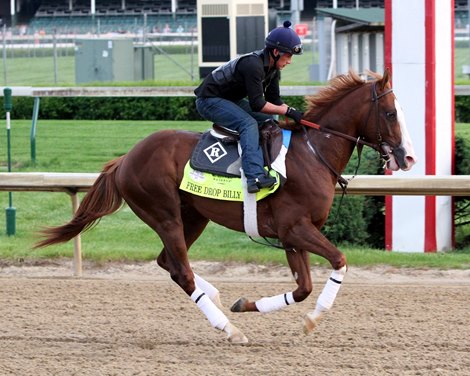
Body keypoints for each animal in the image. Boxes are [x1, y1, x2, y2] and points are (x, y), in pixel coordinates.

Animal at [38, 70, 416, 344]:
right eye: (390, 113)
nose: (407, 157)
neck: (311, 154)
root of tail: (125, 158)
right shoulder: (296, 228)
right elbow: (338, 262)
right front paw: (311, 320)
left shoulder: (291, 236)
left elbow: (303, 288)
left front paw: (247, 304)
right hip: (165, 215)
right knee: (181, 271)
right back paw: (229, 329)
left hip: (193, 216)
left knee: (168, 263)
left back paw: (217, 296)